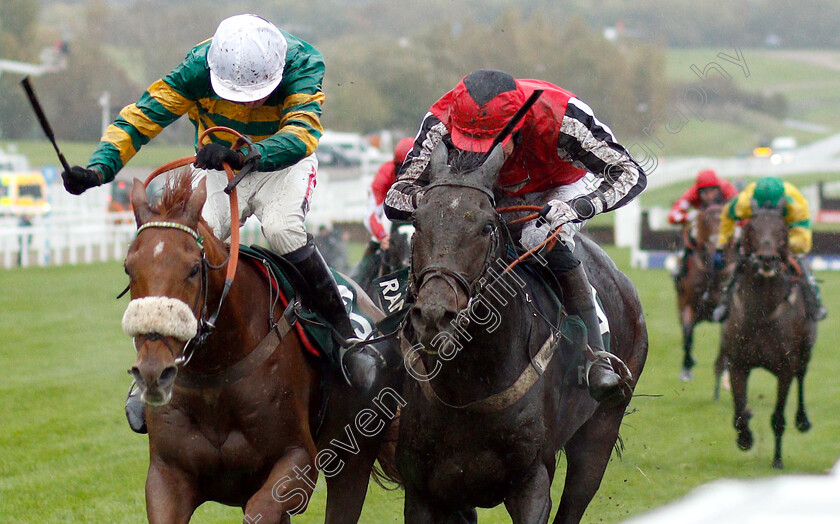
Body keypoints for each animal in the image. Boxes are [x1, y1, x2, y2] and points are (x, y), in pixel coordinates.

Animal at [122, 171, 404, 520]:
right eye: (128, 268)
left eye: (193, 269)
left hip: (354, 456)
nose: (153, 370)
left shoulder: (297, 461)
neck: (216, 371)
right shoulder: (167, 476)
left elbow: (264, 508)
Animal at [394, 144, 648, 524]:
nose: (435, 316)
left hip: (602, 427)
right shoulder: (424, 490)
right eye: (416, 222)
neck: (468, 387)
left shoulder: (531, 483)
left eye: (486, 226)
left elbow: (625, 169)